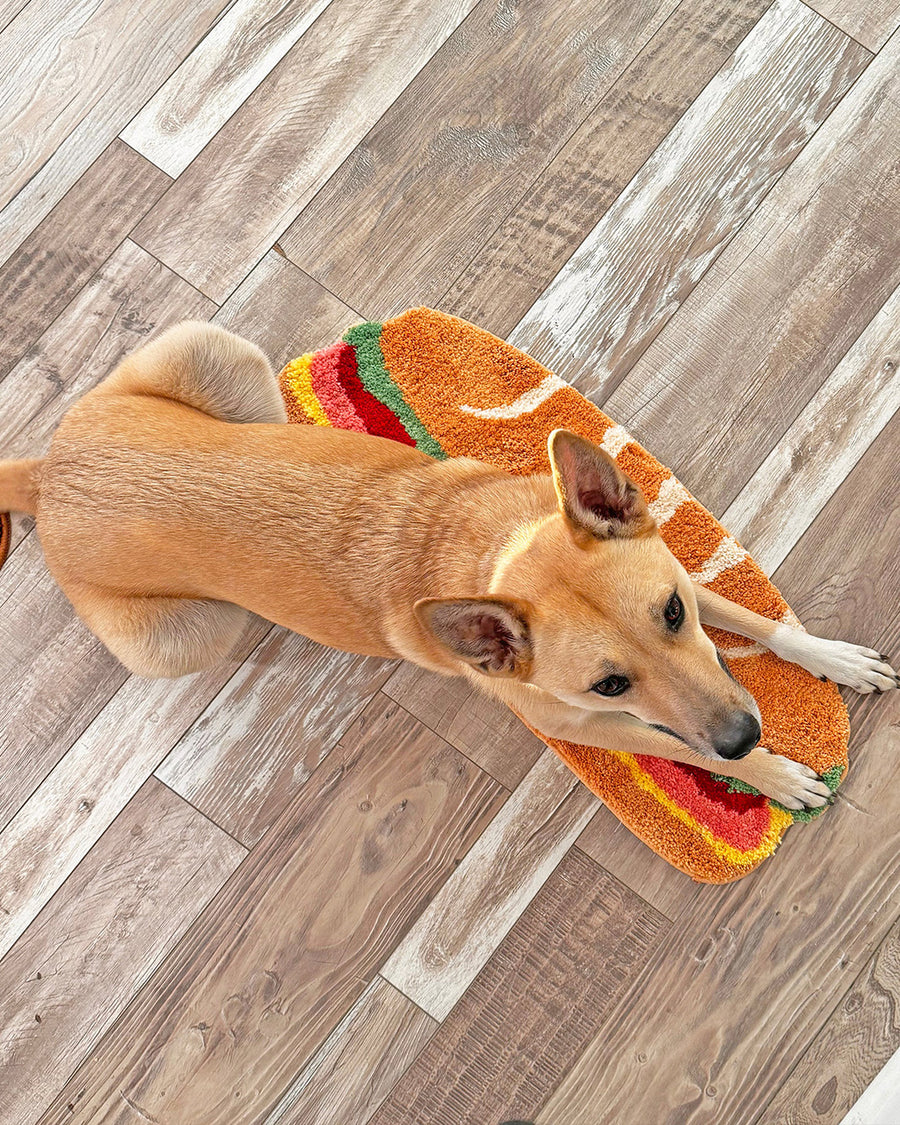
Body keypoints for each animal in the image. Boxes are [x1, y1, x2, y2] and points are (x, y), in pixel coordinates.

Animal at [3, 319, 895, 810]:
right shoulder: (588, 726)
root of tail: (47, 475)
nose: (748, 734)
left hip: (214, 361)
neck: (491, 553)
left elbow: (755, 621)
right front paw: (776, 776)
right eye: (609, 685)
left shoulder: (669, 564)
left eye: (671, 612)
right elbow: (684, 748)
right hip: (187, 635)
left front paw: (832, 659)